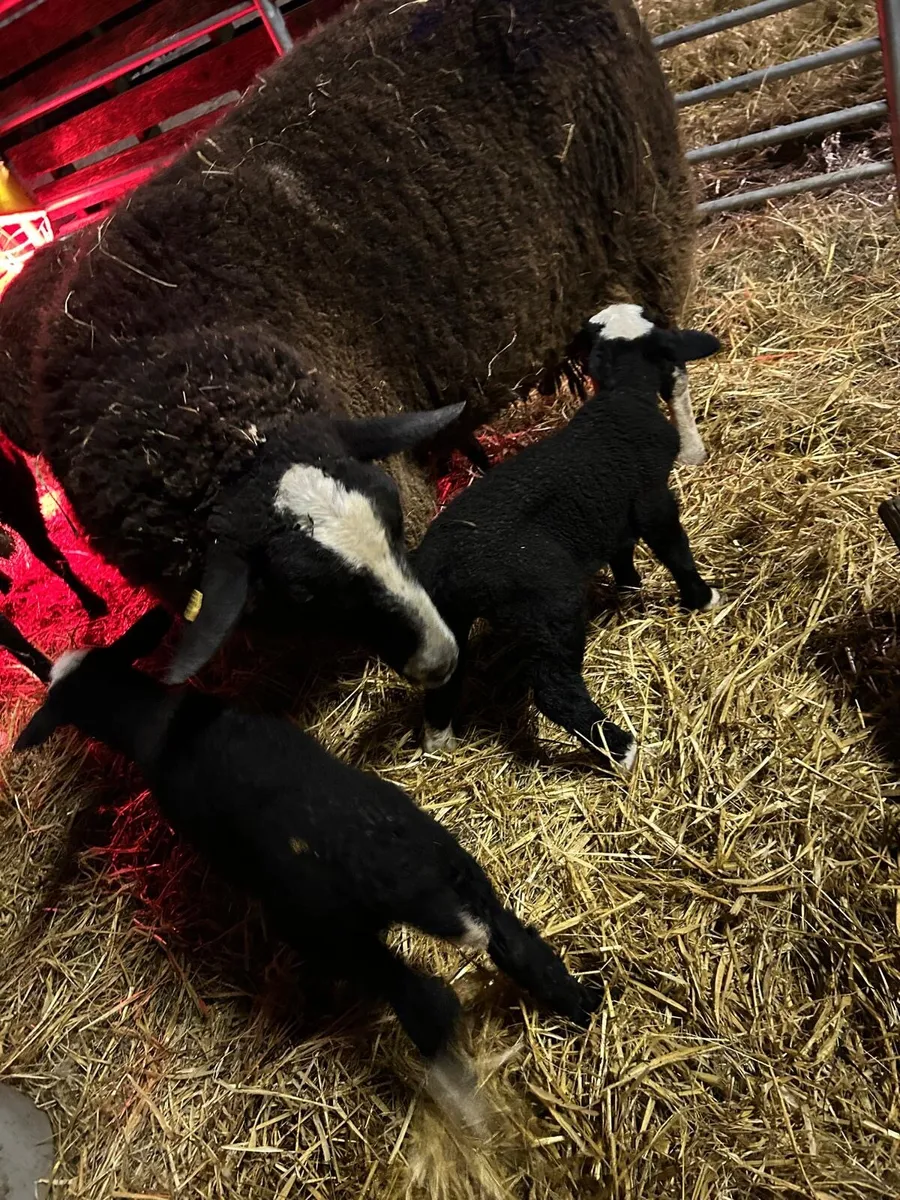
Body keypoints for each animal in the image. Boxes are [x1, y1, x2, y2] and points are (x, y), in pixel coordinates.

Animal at [6, 609, 597, 1124]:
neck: (150, 718)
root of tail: (387, 868)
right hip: (456, 866)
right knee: (518, 945)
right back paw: (582, 1004)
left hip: (336, 935)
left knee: (428, 1002)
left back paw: (466, 1107)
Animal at [411, 303, 722, 768]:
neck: (623, 397)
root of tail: (446, 562)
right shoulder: (652, 499)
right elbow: (675, 550)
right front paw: (702, 598)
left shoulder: (611, 512)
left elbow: (621, 551)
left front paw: (630, 590)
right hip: (548, 602)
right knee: (554, 690)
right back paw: (620, 748)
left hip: (451, 612)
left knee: (446, 674)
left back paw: (439, 739)